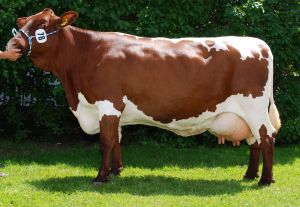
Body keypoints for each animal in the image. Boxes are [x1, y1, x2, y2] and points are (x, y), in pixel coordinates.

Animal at [7, 8, 282, 186]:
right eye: (22, 25)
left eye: (42, 27)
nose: (12, 45)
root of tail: (258, 43)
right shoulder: (113, 109)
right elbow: (117, 139)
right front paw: (116, 171)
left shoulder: (107, 104)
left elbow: (105, 141)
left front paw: (101, 177)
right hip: (247, 113)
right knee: (254, 141)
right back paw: (249, 175)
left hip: (254, 107)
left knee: (266, 137)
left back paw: (265, 180)